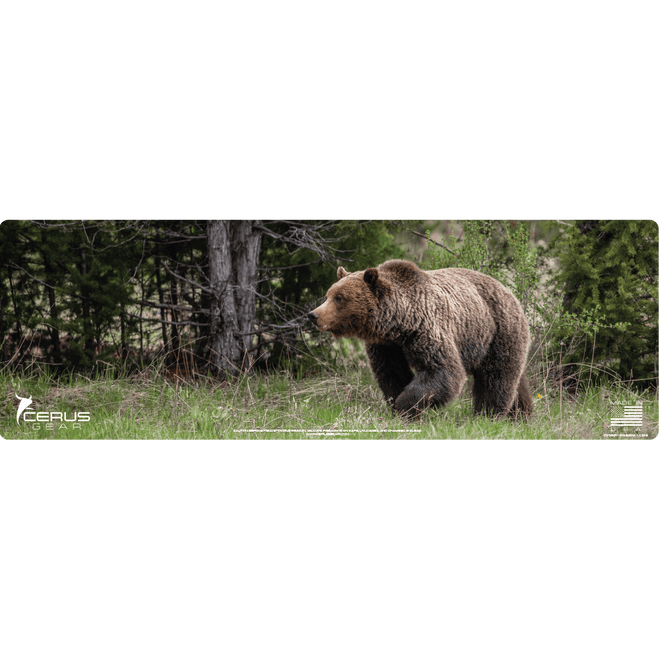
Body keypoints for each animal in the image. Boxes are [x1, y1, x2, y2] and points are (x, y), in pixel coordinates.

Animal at [308, 259, 533, 419]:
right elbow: (391, 373)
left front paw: (405, 406)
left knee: (496, 377)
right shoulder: (386, 346)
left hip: (496, 331)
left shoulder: (425, 330)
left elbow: (442, 370)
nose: (313, 315)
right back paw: (521, 415)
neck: (398, 323)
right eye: (328, 295)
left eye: (339, 298)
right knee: (517, 380)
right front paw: (397, 404)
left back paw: (488, 414)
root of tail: (509, 291)